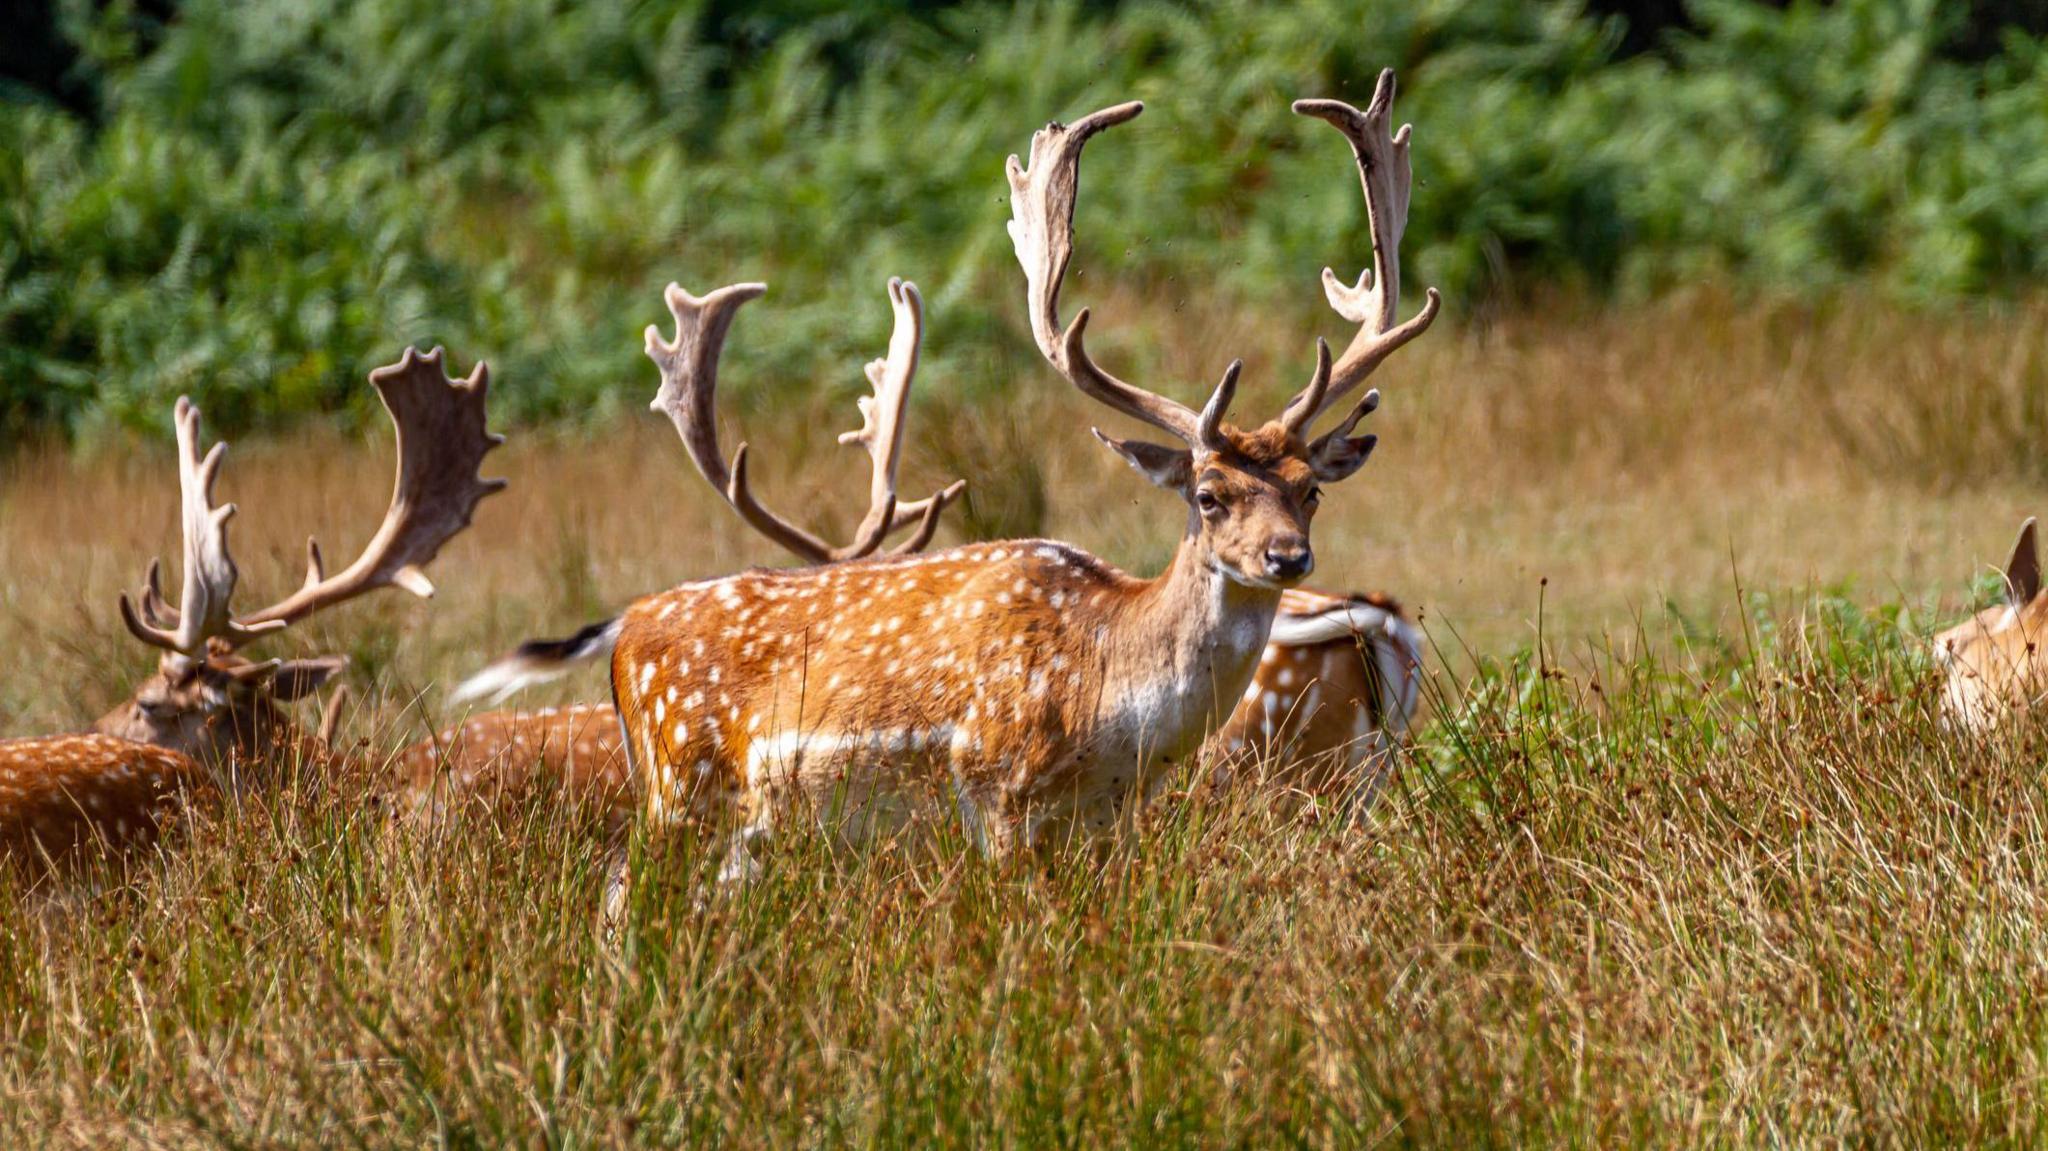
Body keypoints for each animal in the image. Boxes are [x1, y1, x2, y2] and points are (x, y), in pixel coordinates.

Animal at [456, 67, 1433, 868]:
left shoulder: (1107, 820)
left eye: (1311, 490)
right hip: (676, 785)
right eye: (1208, 493)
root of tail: (626, 630)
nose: (1287, 556)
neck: (1108, 698)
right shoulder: (993, 787)